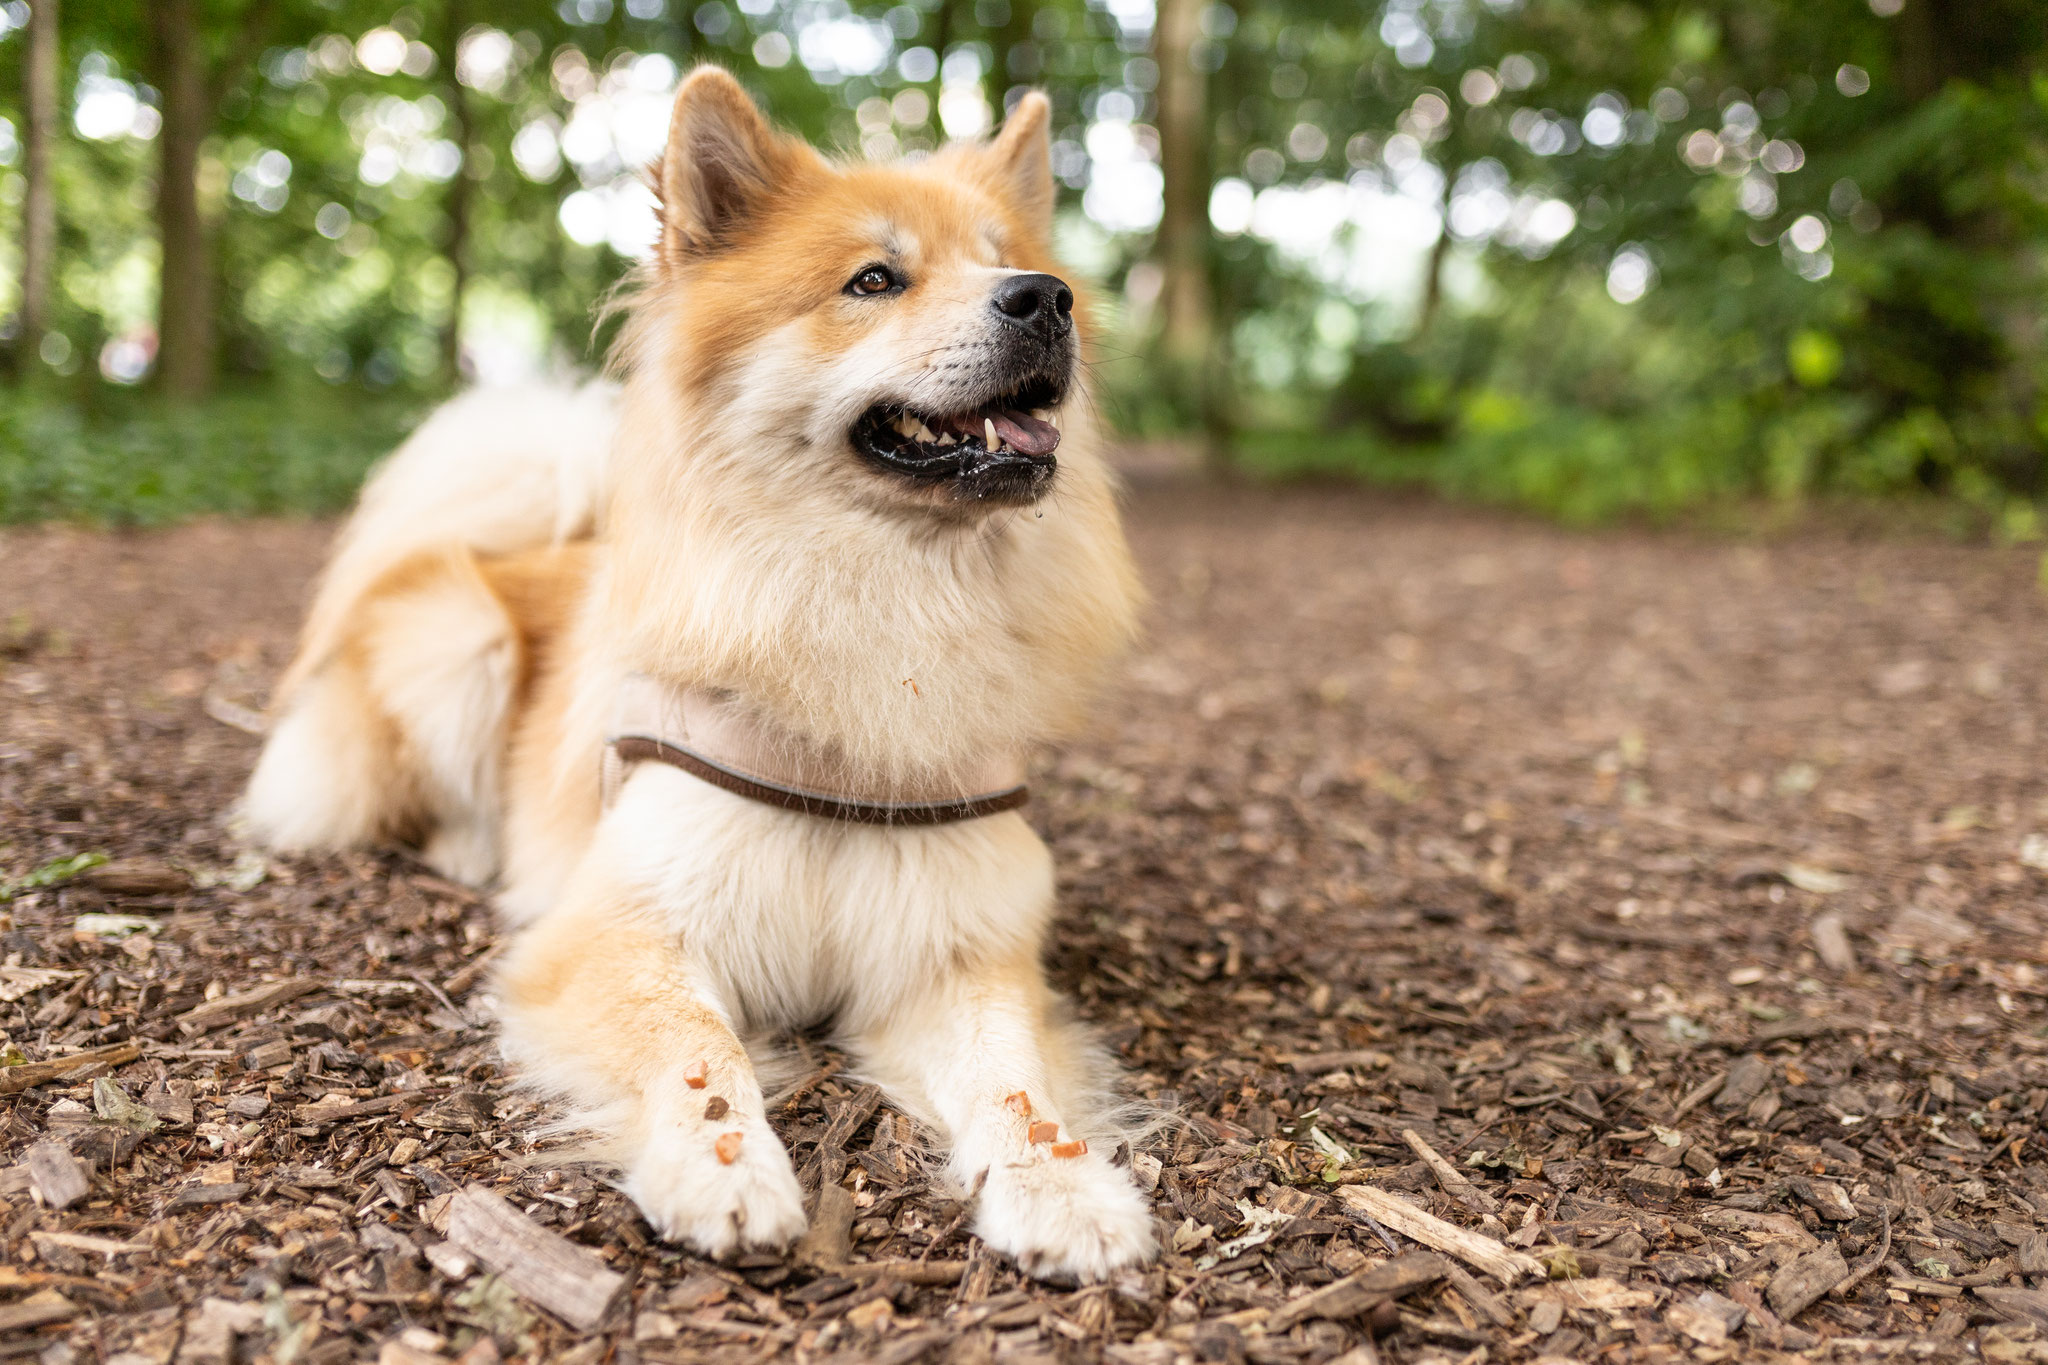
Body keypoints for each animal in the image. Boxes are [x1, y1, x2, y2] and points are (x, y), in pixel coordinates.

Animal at [239, 63, 1155, 1285]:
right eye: (874, 280)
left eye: (1005, 256)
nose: (1045, 299)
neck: (879, 606)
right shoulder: (628, 924)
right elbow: (695, 1045)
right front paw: (720, 1168)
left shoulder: (956, 949)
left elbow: (1014, 1082)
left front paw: (1062, 1189)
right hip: (458, 643)